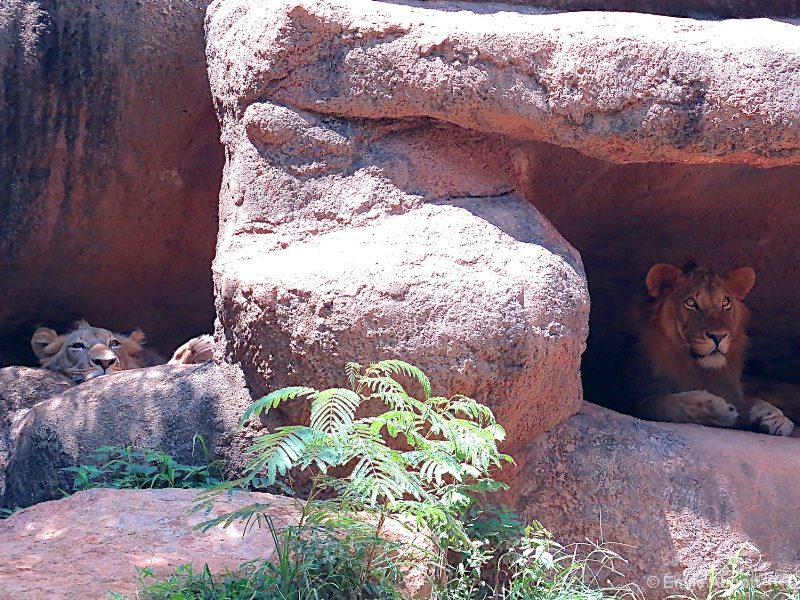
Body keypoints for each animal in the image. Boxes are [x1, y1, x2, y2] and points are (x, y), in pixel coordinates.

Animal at [632, 262, 792, 436]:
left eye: (725, 302)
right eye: (690, 302)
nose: (718, 336)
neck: (699, 369)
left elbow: (751, 399)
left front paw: (776, 418)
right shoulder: (632, 397)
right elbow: (664, 403)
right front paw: (717, 409)